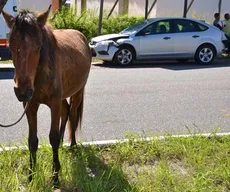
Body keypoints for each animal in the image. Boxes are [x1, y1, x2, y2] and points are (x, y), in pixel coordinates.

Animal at [2, 6, 91, 185]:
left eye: (38, 47)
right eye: (11, 47)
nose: (22, 91)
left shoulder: (54, 103)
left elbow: (53, 138)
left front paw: (55, 176)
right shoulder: (30, 105)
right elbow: (32, 140)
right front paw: (31, 175)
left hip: (78, 91)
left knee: (72, 113)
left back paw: (72, 145)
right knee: (66, 111)